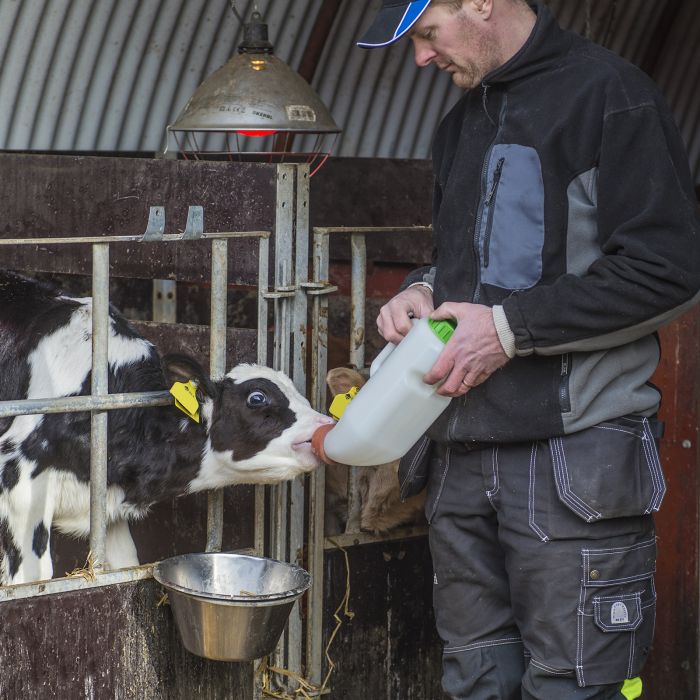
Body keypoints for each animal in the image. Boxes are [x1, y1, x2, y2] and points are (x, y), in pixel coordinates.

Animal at [0, 272, 334, 584]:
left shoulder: (107, 511)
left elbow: (123, 567)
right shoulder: (18, 485)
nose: (326, 423)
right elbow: (30, 581)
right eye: (257, 398)